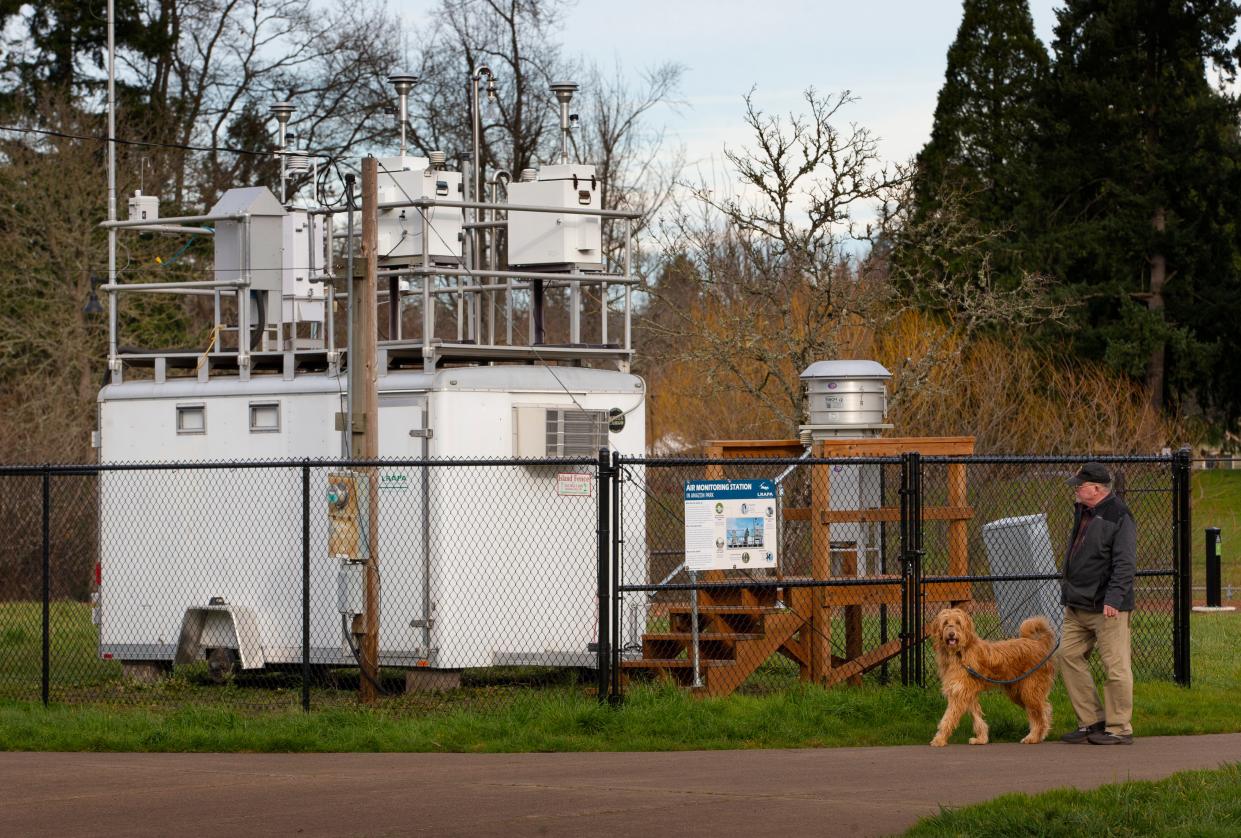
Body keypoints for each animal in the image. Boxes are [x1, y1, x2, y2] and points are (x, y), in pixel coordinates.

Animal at [933, 605, 1057, 749]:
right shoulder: (967, 692)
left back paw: (1033, 737)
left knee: (1039, 715)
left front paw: (939, 739)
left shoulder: (959, 693)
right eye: (946, 623)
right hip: (1018, 692)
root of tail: (1038, 644)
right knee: (1044, 709)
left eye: (958, 623)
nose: (951, 634)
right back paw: (1041, 734)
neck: (960, 653)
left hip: (1029, 690)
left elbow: (948, 717)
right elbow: (976, 716)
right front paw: (981, 738)